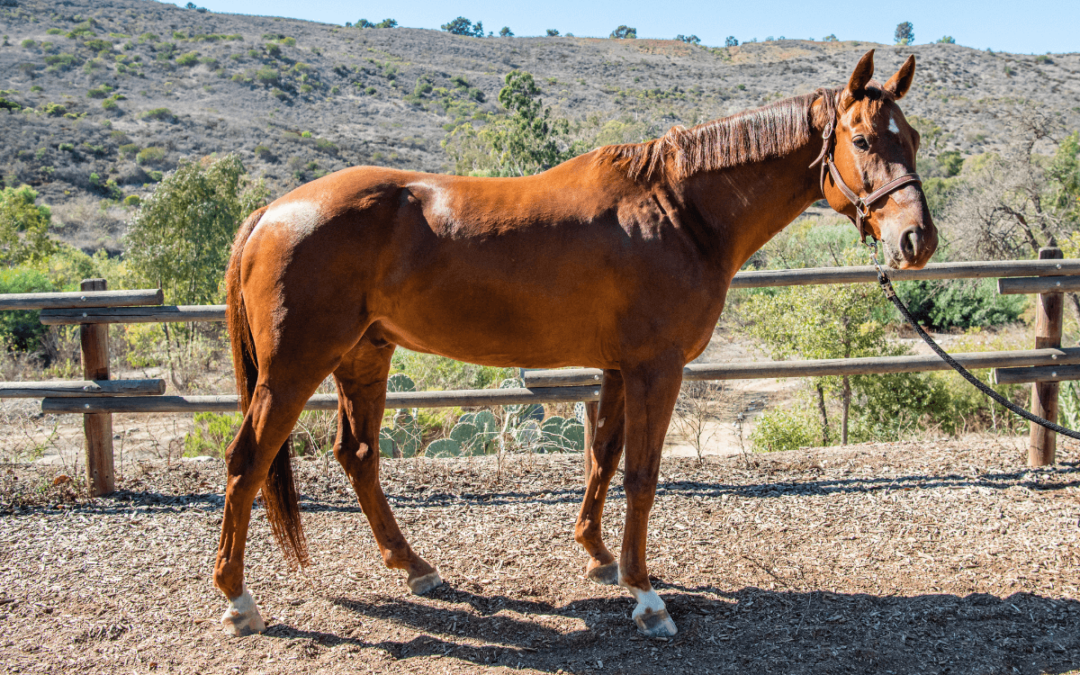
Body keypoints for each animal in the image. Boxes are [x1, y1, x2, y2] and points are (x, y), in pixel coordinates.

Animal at [215, 49, 937, 638]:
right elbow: (642, 474)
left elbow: (603, 459)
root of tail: (271, 211)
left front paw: (599, 556)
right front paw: (646, 596)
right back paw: (239, 600)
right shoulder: (656, 369)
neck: (680, 212)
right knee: (248, 460)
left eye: (914, 139)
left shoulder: (618, 369)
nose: (917, 240)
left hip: (364, 356)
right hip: (295, 368)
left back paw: (416, 567)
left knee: (358, 455)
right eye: (863, 139)